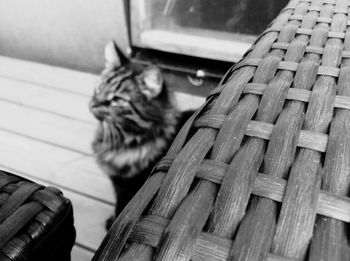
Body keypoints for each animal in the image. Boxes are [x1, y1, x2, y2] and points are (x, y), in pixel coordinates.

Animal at [89, 41, 193, 228]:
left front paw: (112, 223)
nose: (93, 104)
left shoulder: (126, 188)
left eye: (117, 100)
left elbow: (119, 211)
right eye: (99, 87)